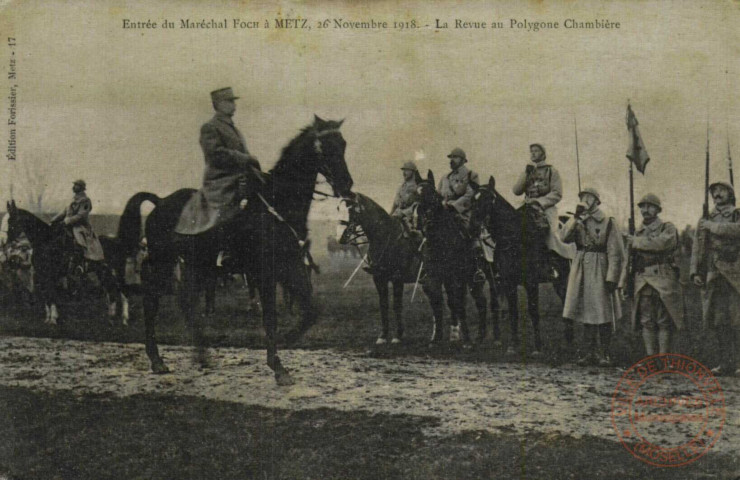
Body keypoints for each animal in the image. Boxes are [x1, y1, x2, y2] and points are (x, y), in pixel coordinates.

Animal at [120, 114, 352, 384]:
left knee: (185, 301)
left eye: (343, 144)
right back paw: (157, 360)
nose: (347, 185)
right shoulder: (265, 272)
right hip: (162, 261)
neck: (277, 205)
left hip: (196, 265)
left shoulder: (291, 267)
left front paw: (285, 344)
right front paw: (277, 365)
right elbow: (271, 317)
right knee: (151, 301)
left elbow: (311, 311)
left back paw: (201, 355)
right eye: (324, 147)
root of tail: (160, 202)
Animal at [472, 177, 568, 356]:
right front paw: (513, 345)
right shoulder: (509, 283)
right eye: (472, 200)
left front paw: (538, 347)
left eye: (487, 199)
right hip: (559, 282)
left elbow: (533, 312)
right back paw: (569, 341)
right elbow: (513, 312)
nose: (472, 226)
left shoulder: (531, 283)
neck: (514, 237)